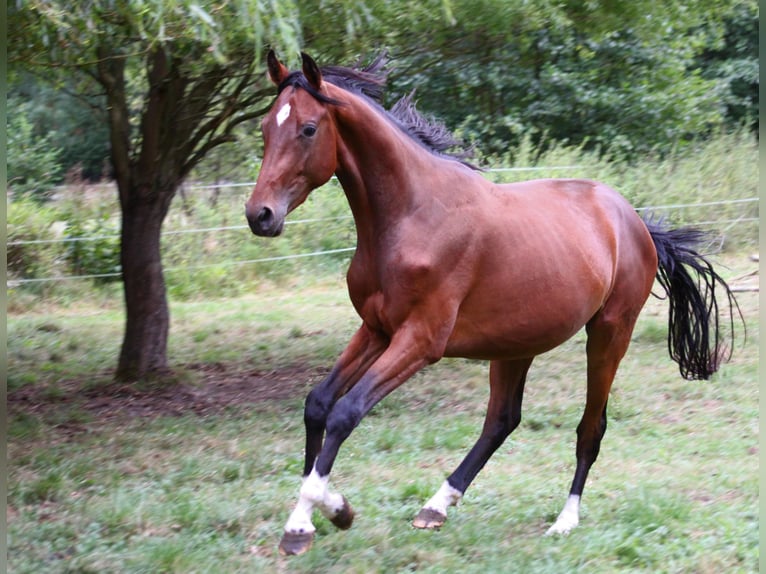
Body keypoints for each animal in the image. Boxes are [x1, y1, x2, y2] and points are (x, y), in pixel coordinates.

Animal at [244, 50, 736, 560]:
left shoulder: (420, 340)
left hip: (608, 334)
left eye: (308, 129)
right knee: (502, 420)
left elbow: (346, 412)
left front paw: (326, 513)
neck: (412, 216)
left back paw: (564, 521)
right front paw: (307, 521)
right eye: (264, 126)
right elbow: (319, 403)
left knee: (590, 428)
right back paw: (436, 505)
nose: (260, 215)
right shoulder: (376, 329)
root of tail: (633, 219)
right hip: (516, 343)